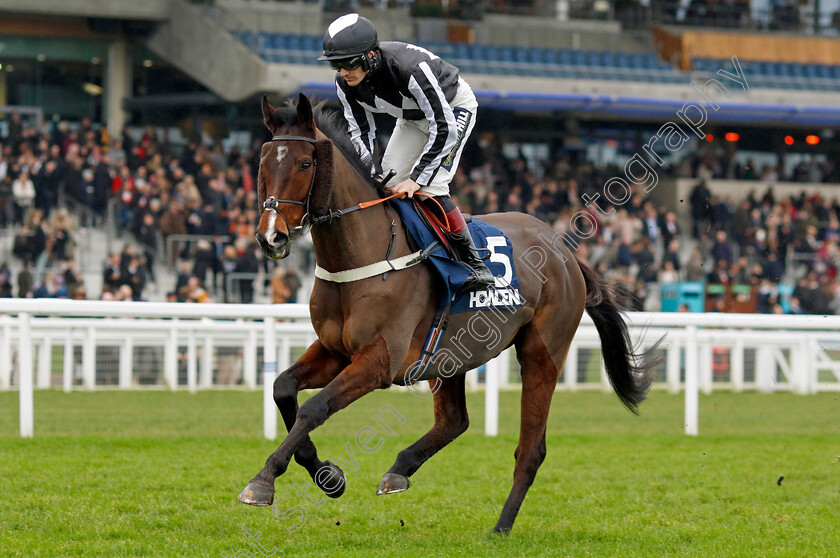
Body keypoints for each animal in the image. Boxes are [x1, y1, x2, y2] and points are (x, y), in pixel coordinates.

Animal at [236, 94, 656, 536]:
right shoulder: (335, 350)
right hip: (451, 352)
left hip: (542, 352)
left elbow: (315, 408)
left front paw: (264, 481)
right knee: (455, 420)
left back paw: (501, 527)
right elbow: (283, 388)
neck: (364, 253)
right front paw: (327, 475)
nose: (271, 236)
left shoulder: (378, 360)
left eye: (304, 163)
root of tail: (563, 250)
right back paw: (400, 469)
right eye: (262, 163)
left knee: (531, 449)